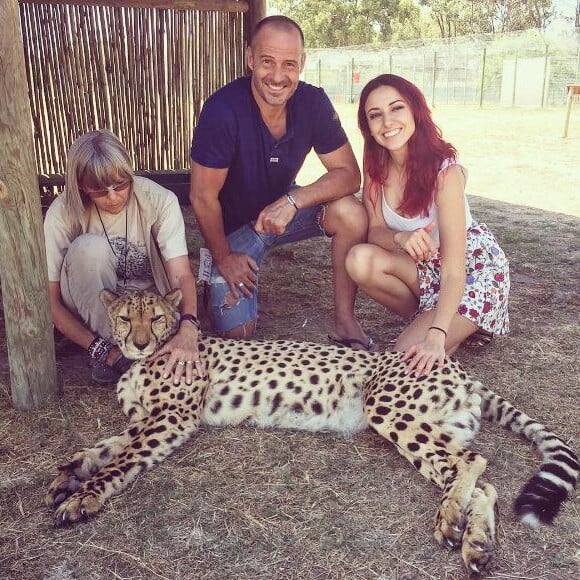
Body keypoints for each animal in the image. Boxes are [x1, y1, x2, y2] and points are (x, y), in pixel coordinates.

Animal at [46, 290, 580, 576]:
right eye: (125, 316)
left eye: (155, 317)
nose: (137, 341)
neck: (153, 355)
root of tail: (452, 364)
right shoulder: (144, 420)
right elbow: (100, 448)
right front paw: (66, 476)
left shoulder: (171, 419)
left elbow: (121, 462)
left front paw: (84, 498)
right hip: (431, 423)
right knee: (482, 481)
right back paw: (476, 543)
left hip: (388, 406)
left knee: (472, 462)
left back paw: (451, 519)